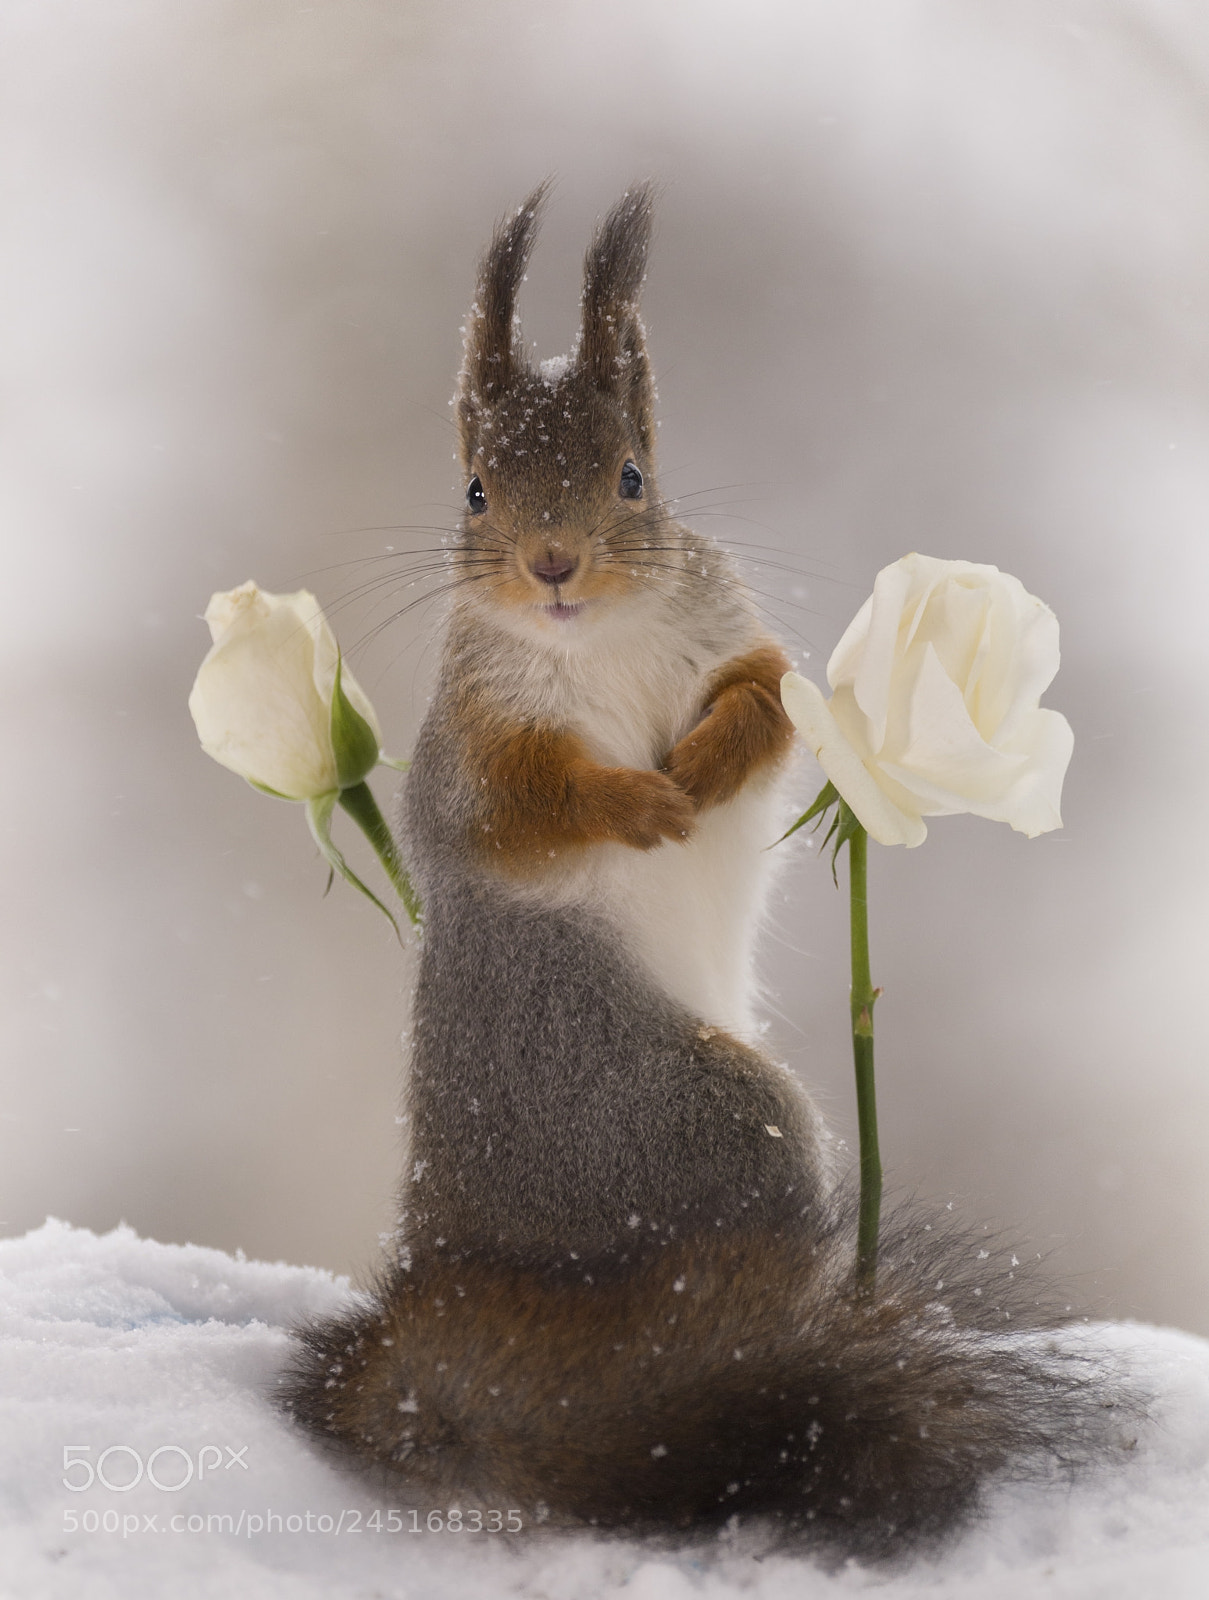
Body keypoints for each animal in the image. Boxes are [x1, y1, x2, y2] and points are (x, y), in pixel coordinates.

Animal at [281, 184, 1133, 1557]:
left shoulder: (738, 636)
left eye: (633, 476)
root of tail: (447, 1270)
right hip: (700, 1119)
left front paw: (708, 766)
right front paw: (641, 799)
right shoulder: (473, 750)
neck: (604, 638)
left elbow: (768, 703)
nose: (553, 565)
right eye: (475, 490)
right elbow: (521, 811)